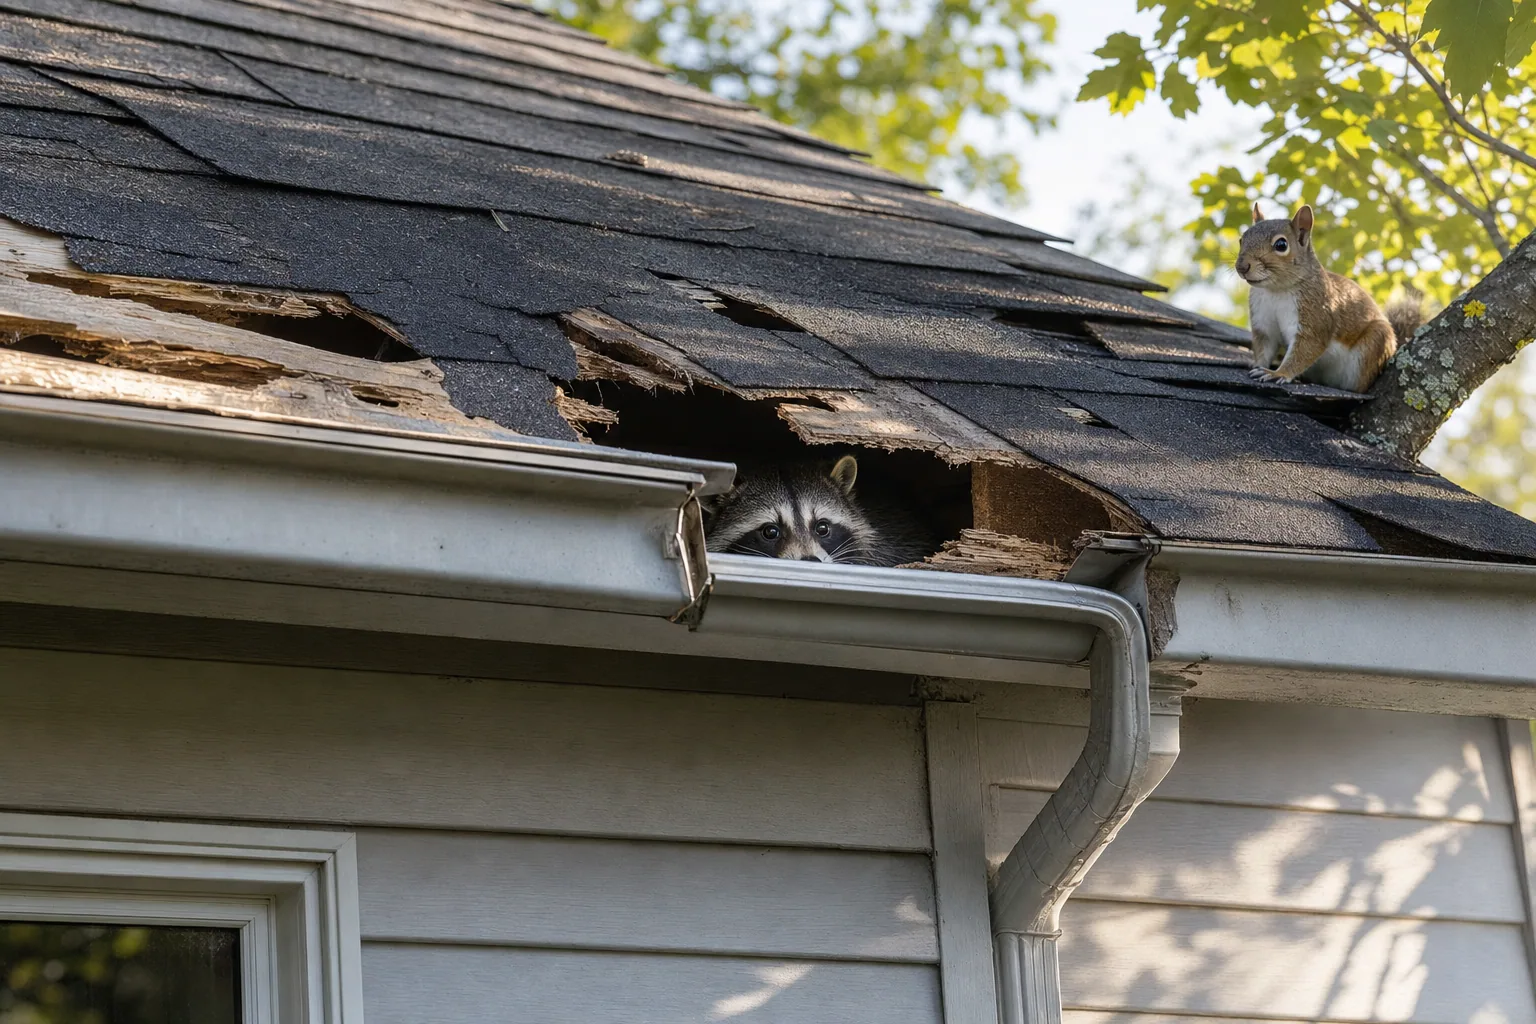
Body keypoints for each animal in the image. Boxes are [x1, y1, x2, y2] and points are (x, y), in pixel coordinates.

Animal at [1235, 203, 1422, 393]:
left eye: (1281, 244)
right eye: (1242, 239)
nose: (1241, 267)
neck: (1276, 290)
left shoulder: (1316, 314)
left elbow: (1307, 347)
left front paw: (1278, 373)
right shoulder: (1262, 319)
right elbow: (1264, 346)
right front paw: (1257, 365)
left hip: (1375, 342)